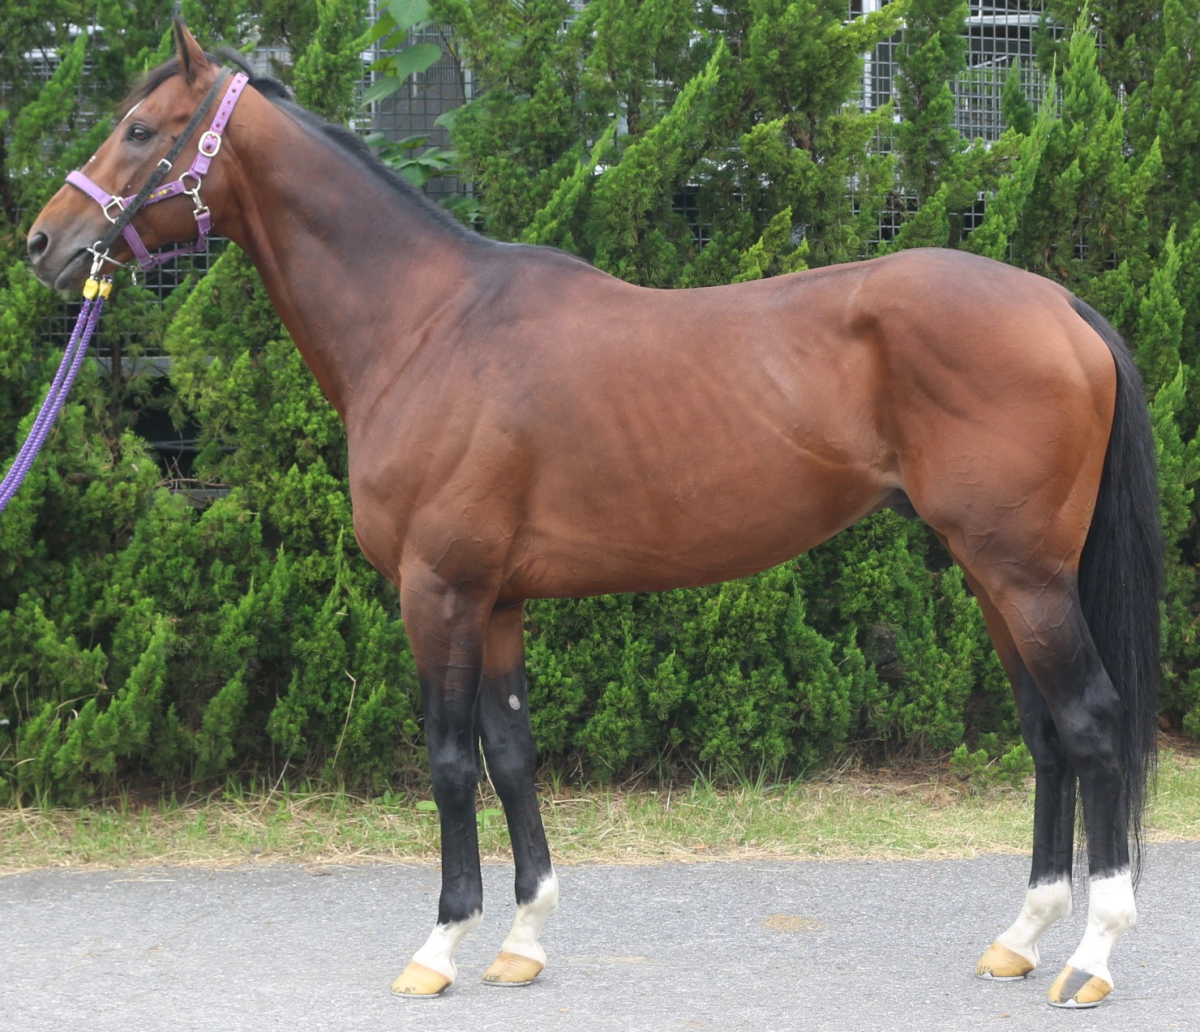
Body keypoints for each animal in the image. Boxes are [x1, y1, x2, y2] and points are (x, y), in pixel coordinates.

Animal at [27, 21, 1162, 1009]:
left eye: (141, 128)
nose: (45, 240)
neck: (427, 326)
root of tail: (1060, 306)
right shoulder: (497, 600)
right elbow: (513, 754)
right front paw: (523, 942)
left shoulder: (438, 591)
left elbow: (449, 763)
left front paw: (440, 946)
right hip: (992, 572)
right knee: (1046, 735)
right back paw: (1020, 937)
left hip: (1022, 574)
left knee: (1093, 724)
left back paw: (1092, 957)